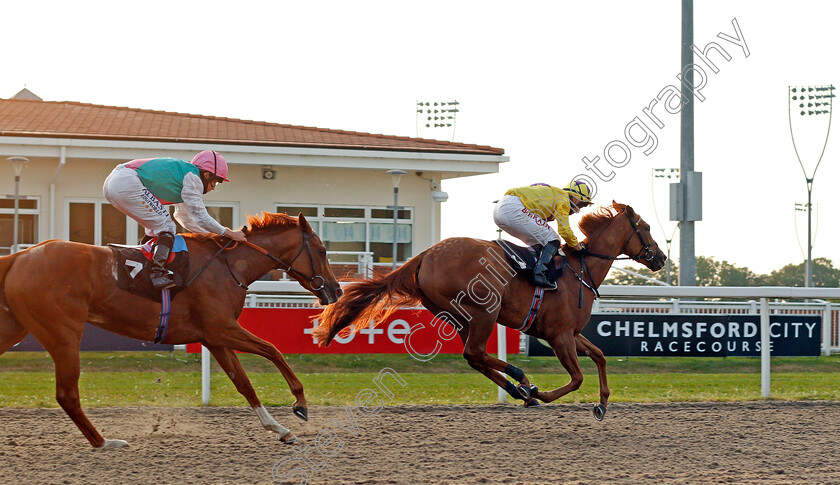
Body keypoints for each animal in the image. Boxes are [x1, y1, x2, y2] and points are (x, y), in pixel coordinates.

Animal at [0, 212, 342, 446]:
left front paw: (279, 429)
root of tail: (19, 256)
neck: (229, 267)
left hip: (15, 328)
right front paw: (300, 404)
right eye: (322, 251)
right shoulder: (223, 329)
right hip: (64, 335)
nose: (336, 290)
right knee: (67, 395)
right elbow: (273, 350)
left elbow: (244, 384)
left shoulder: (214, 338)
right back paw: (105, 443)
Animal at [316, 202, 664, 418]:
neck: (579, 270)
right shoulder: (559, 335)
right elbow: (577, 377)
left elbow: (601, 356)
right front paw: (541, 394)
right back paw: (522, 382)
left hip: (456, 316)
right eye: (646, 227)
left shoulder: (571, 333)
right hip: (485, 309)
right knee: (476, 353)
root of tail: (426, 255)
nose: (660, 258)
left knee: (473, 356)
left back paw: (517, 387)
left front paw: (603, 404)